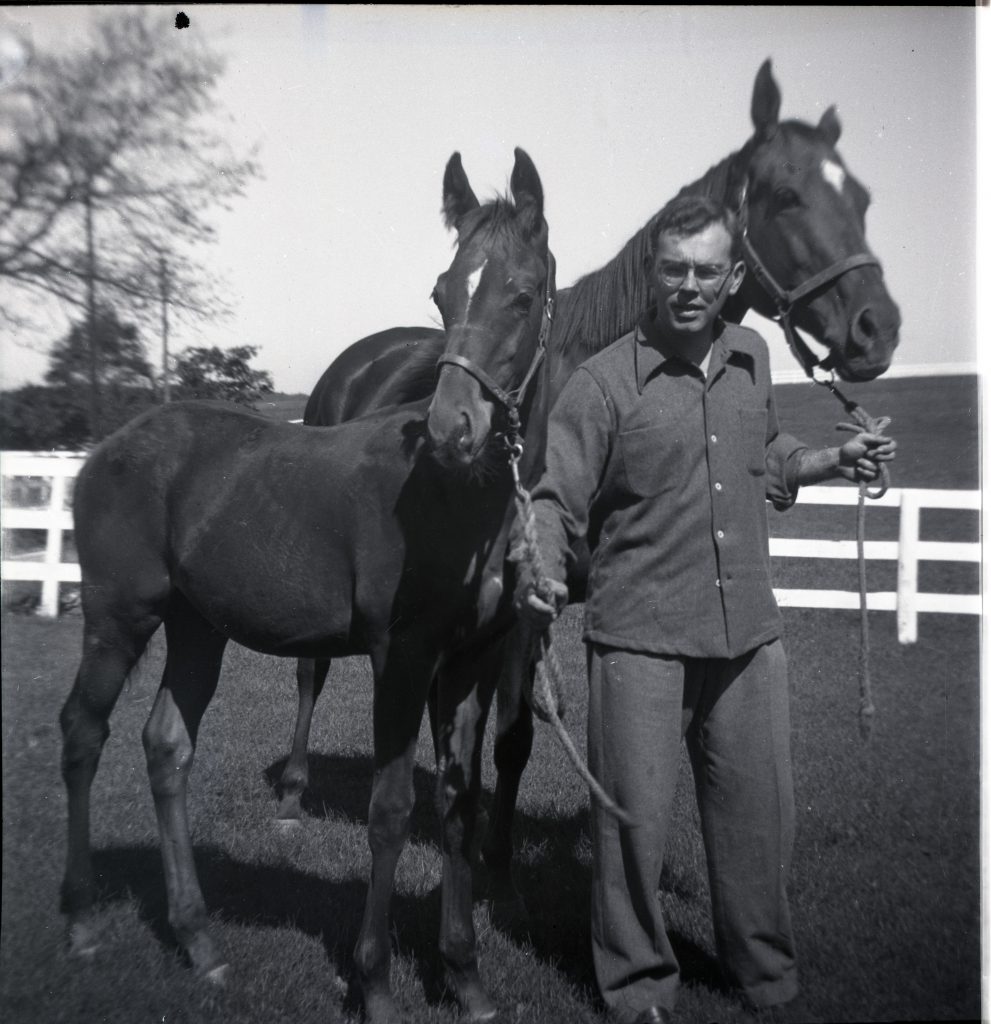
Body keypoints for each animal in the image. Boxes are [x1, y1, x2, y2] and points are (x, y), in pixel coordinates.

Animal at [62, 146, 556, 1024]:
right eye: (442, 291)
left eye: (522, 294)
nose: (451, 430)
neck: (461, 500)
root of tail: (107, 448)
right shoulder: (402, 657)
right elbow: (389, 811)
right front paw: (377, 983)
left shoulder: (465, 665)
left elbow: (457, 802)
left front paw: (465, 977)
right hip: (119, 617)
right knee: (84, 734)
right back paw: (84, 920)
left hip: (198, 627)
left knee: (167, 745)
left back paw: (199, 940)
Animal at [274, 56, 900, 901]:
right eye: (786, 195)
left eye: (859, 198)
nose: (877, 326)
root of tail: (355, 359)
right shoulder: (522, 613)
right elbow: (510, 731)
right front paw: (490, 857)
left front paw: (504, 848)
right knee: (310, 670)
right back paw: (294, 791)